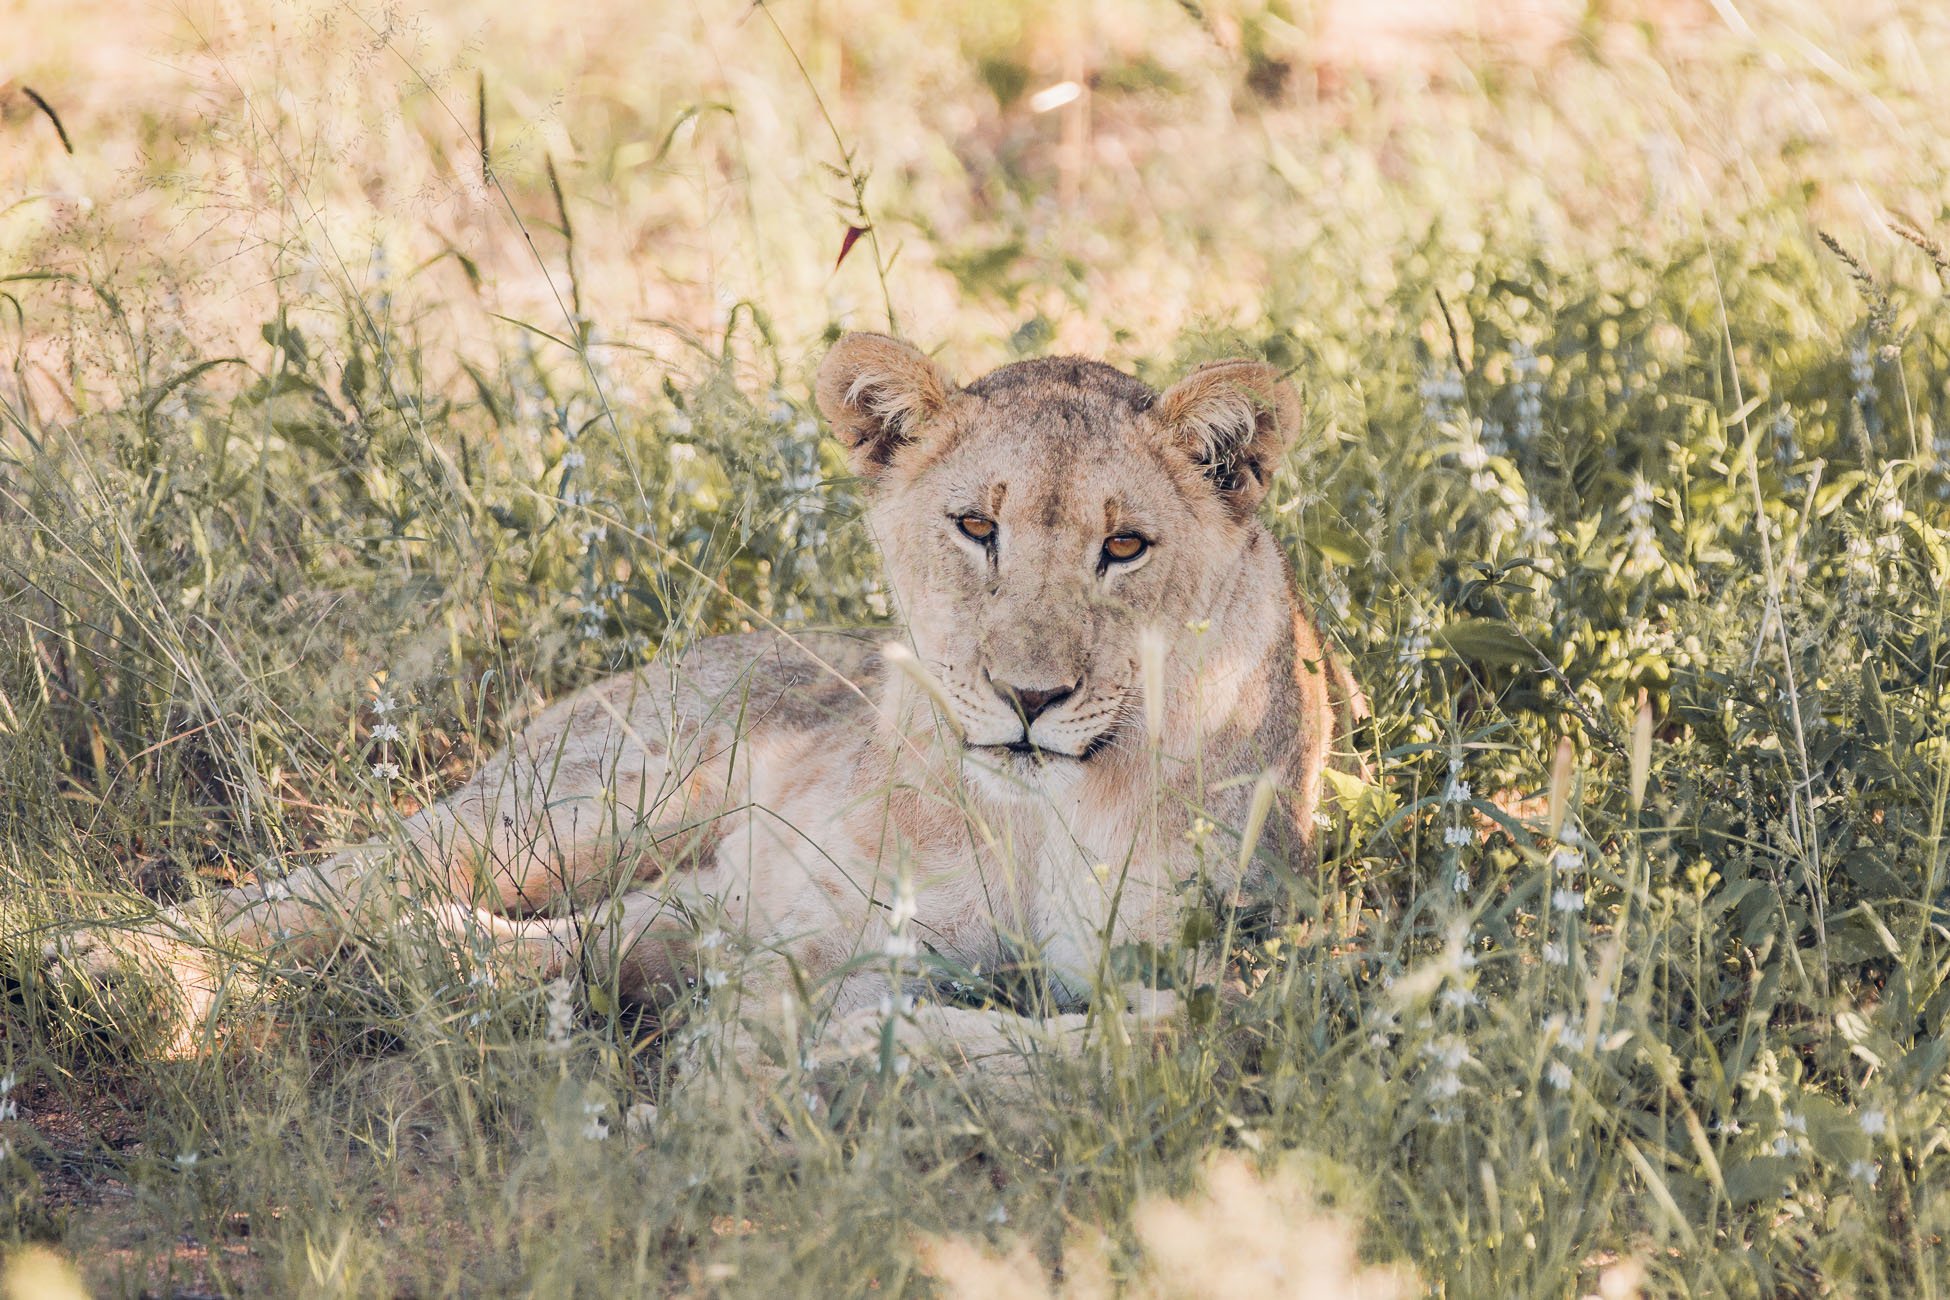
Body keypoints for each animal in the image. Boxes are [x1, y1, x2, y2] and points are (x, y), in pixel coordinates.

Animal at [64, 335, 1372, 1075]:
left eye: (1126, 545)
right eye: (976, 525)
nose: (1030, 696)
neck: (1040, 815)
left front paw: (862, 1055)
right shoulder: (816, 918)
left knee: (588, 939)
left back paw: (443, 962)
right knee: (307, 892)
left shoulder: (1263, 957)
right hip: (575, 805)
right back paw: (106, 973)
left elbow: (1155, 1036)